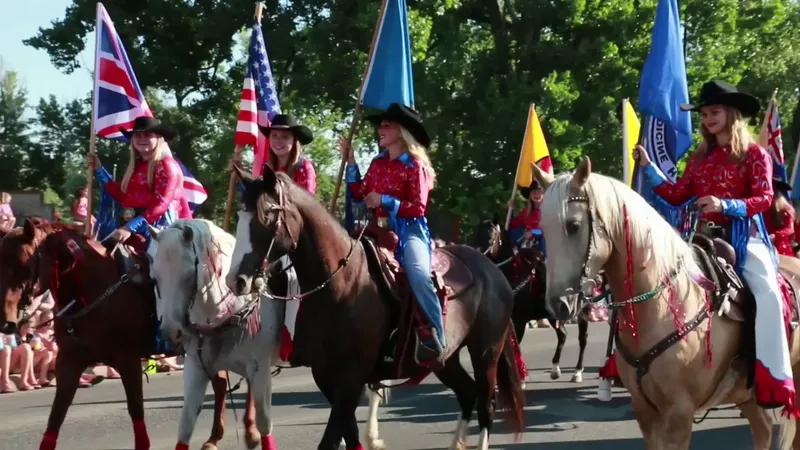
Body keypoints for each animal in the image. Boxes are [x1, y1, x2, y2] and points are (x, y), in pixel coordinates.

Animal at [0, 218, 257, 450]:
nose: (7, 322)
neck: (92, 292)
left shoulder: (128, 361)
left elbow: (135, 410)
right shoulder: (69, 362)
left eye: (25, 266)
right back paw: (214, 438)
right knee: (221, 383)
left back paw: (251, 431)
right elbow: (56, 415)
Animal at [148, 219, 286, 450]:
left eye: (188, 276)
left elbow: (265, 424)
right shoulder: (196, 368)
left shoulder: (260, 368)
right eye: (155, 278)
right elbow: (185, 426)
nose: (171, 332)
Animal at [226, 166, 525, 450]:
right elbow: (350, 435)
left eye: (266, 216)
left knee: (486, 404)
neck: (343, 284)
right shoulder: (326, 377)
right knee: (467, 393)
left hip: (486, 351)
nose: (235, 280)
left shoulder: (351, 376)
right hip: (445, 359)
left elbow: (331, 440)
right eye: (240, 217)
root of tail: (492, 270)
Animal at [473, 217, 590, 383]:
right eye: (476, 232)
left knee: (582, 338)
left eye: (490, 235)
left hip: (581, 310)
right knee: (563, 335)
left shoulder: (520, 320)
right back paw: (555, 369)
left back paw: (577, 372)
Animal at [532, 156, 800, 449]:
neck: (663, 306)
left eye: (574, 225)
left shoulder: (679, 414)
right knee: (763, 429)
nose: (558, 304)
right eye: (543, 229)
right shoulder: (645, 412)